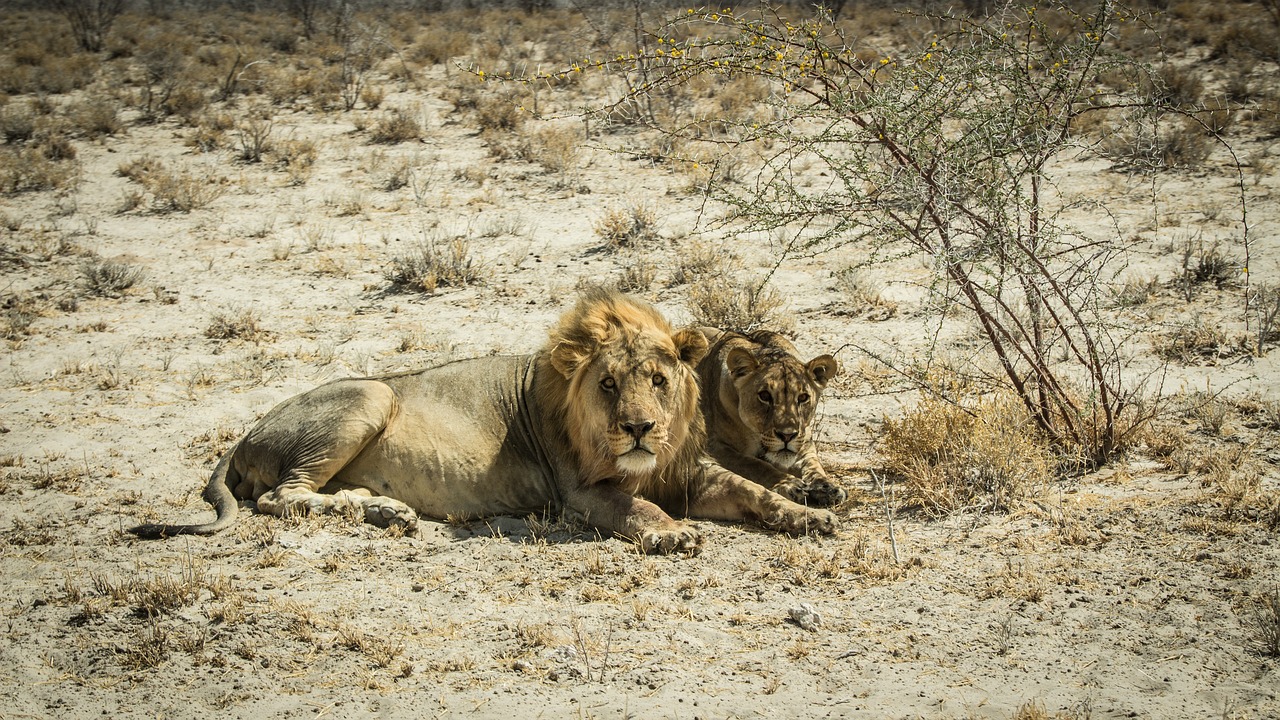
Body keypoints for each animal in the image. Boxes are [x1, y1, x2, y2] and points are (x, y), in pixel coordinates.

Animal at [696, 330, 844, 504]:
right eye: (765, 396)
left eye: (802, 398)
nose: (787, 436)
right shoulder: (714, 446)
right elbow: (755, 465)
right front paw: (789, 484)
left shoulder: (805, 444)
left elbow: (813, 465)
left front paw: (827, 487)